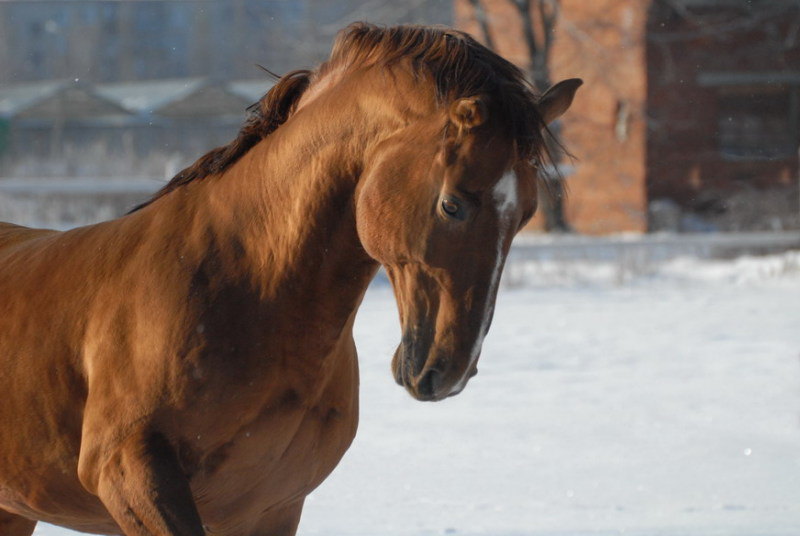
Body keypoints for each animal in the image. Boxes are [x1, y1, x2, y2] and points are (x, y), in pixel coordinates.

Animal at [0, 23, 580, 536]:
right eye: (452, 204)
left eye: (526, 214)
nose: (449, 370)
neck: (246, 288)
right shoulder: (129, 475)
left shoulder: (272, 508)